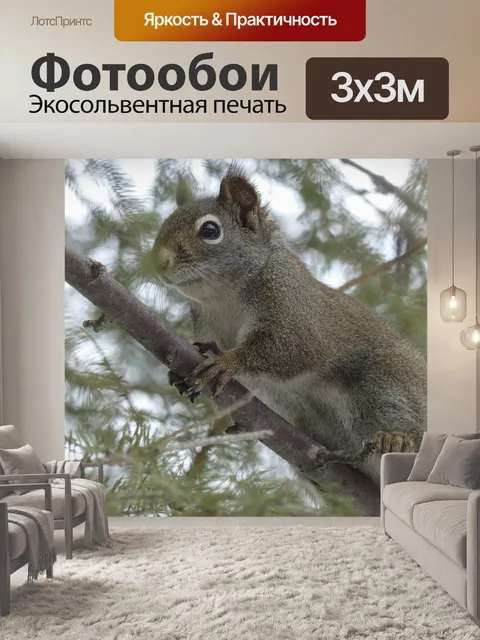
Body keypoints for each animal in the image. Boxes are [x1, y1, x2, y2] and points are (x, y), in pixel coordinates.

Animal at [151, 164, 427, 486]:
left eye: (210, 230)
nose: (158, 261)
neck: (224, 298)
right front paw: (185, 373)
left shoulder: (296, 313)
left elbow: (289, 349)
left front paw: (226, 362)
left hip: (388, 383)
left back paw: (396, 439)